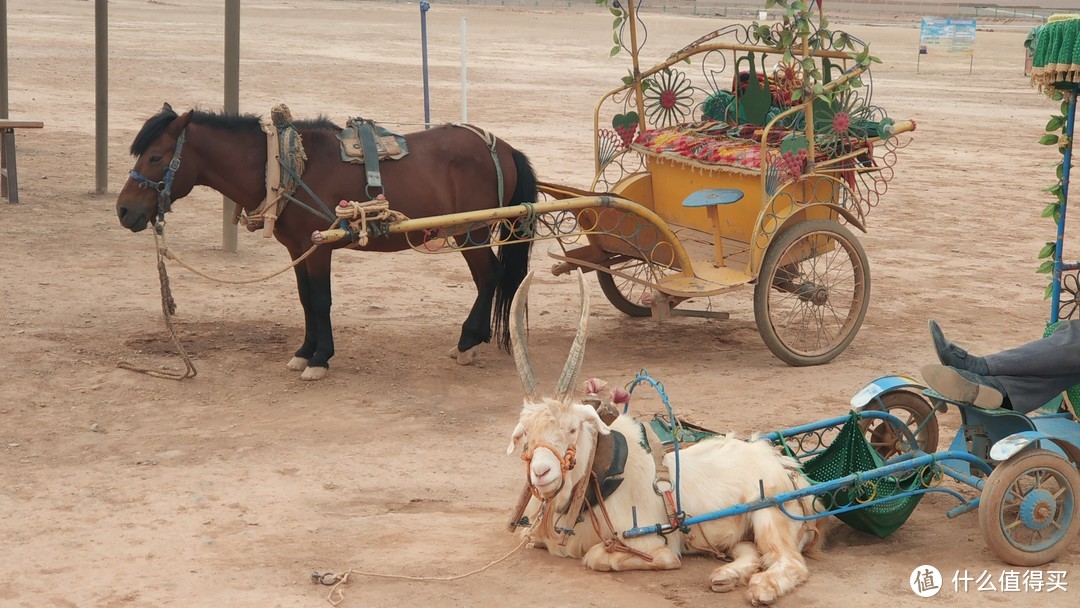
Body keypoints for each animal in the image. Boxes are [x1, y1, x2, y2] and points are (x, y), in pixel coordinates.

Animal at [118, 104, 535, 380]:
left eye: (155, 156)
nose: (123, 210)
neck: (284, 167)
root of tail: (503, 148)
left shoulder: (318, 248)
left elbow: (320, 300)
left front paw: (320, 359)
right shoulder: (298, 248)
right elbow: (306, 300)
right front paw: (304, 352)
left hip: (472, 231)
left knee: (489, 277)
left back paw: (468, 341)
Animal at [505, 273, 825, 604]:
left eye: (572, 428)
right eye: (525, 433)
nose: (541, 472)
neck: (602, 473)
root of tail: (790, 469)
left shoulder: (648, 543)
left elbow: (597, 557)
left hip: (771, 513)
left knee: (789, 561)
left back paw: (762, 588)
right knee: (749, 550)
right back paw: (725, 576)